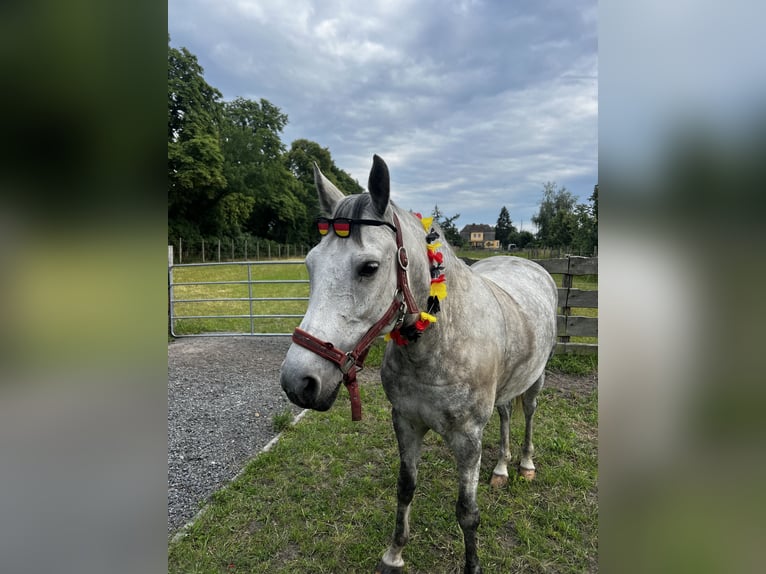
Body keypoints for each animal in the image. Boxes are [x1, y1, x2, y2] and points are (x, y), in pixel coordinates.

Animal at [282, 155, 560, 572]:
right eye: (310, 265)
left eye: (368, 267)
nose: (298, 381)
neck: (435, 346)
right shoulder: (406, 422)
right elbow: (405, 487)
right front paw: (394, 553)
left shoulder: (467, 439)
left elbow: (467, 513)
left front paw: (472, 565)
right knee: (507, 413)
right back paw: (500, 469)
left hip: (536, 379)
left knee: (527, 413)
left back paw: (524, 465)